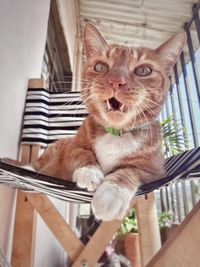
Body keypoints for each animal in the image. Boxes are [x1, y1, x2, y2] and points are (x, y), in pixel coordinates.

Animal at [34, 23, 186, 222]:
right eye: (100, 66)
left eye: (144, 71)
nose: (116, 81)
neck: (115, 133)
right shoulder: (72, 147)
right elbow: (81, 152)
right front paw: (89, 171)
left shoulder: (155, 171)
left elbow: (130, 170)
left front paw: (111, 193)